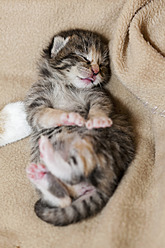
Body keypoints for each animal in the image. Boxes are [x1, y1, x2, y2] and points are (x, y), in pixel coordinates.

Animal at [24, 29, 135, 227]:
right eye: (84, 57)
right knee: (66, 199)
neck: (66, 85)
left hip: (97, 146)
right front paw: (65, 116)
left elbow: (100, 105)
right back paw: (45, 179)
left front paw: (97, 119)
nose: (96, 71)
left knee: (77, 174)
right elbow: (44, 114)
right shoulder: (35, 100)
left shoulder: (97, 94)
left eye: (102, 64)